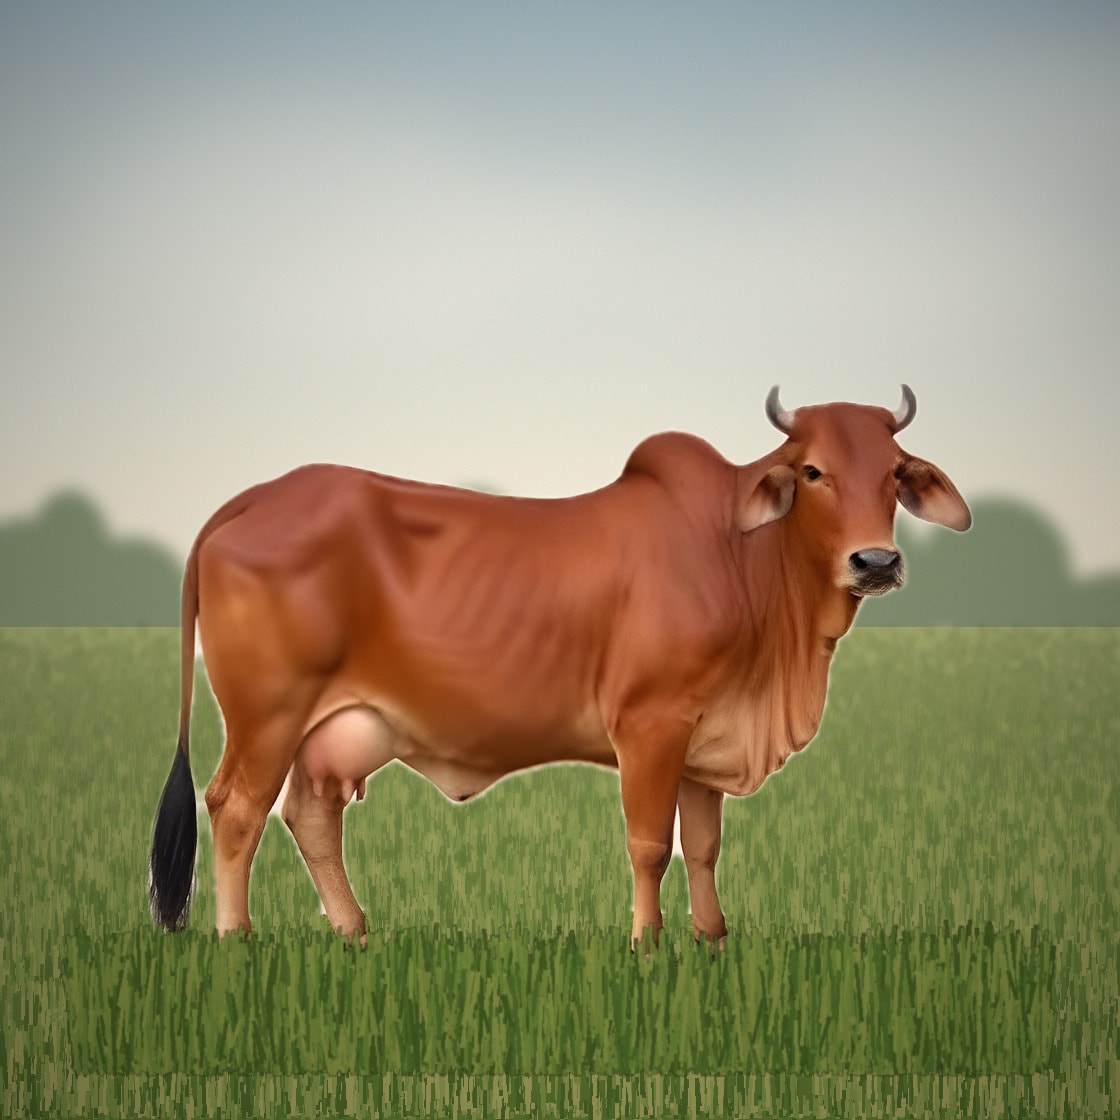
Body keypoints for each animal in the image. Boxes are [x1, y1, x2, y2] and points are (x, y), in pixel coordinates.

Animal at [149, 386, 969, 947]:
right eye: (813, 471)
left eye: (896, 473)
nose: (876, 562)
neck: (744, 564)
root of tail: (252, 499)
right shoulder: (650, 726)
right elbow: (650, 844)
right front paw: (646, 945)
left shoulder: (707, 740)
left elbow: (703, 847)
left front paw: (712, 940)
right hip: (267, 716)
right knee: (236, 809)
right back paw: (237, 939)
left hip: (336, 727)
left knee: (310, 814)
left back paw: (353, 931)